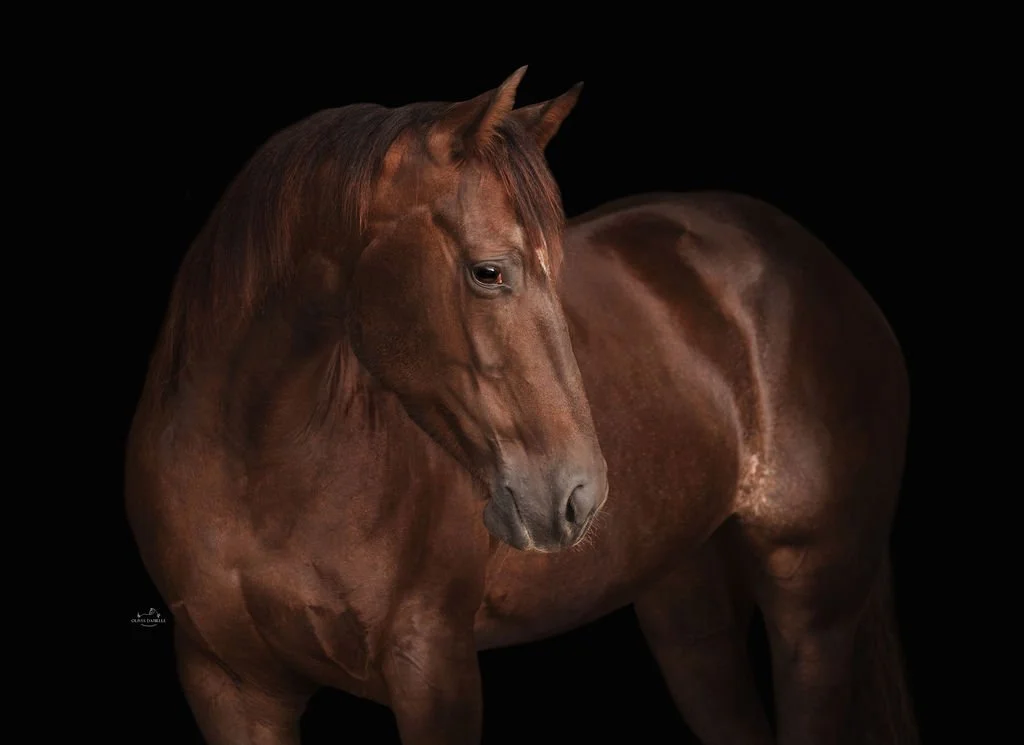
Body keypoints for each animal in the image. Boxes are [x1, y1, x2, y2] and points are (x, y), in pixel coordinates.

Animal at [125, 67, 918, 744]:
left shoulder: (432, 667)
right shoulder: (230, 688)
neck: (257, 468)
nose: (577, 496)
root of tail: (812, 263)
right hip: (689, 613)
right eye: (489, 271)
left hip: (813, 607)